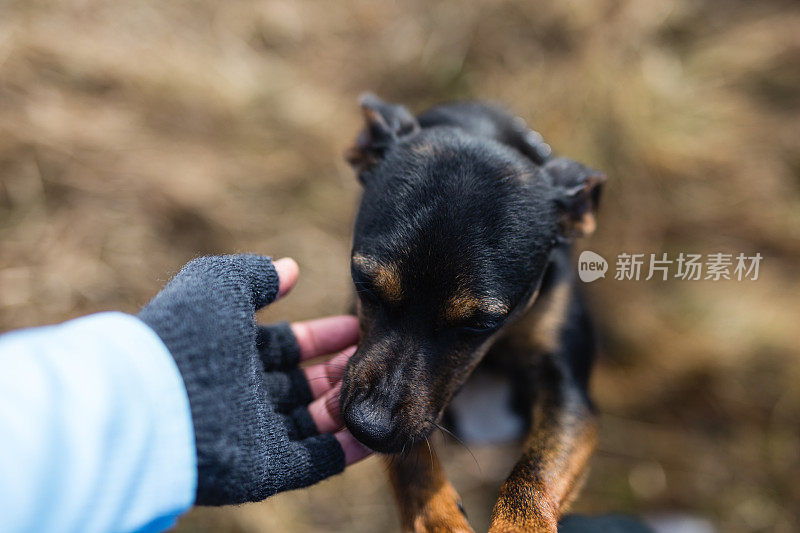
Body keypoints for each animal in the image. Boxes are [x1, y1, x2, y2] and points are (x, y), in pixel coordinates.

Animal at [340, 95, 608, 532]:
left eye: (482, 323)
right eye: (363, 283)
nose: (368, 428)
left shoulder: (568, 393)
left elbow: (535, 470)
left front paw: (519, 526)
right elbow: (412, 457)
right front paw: (438, 518)